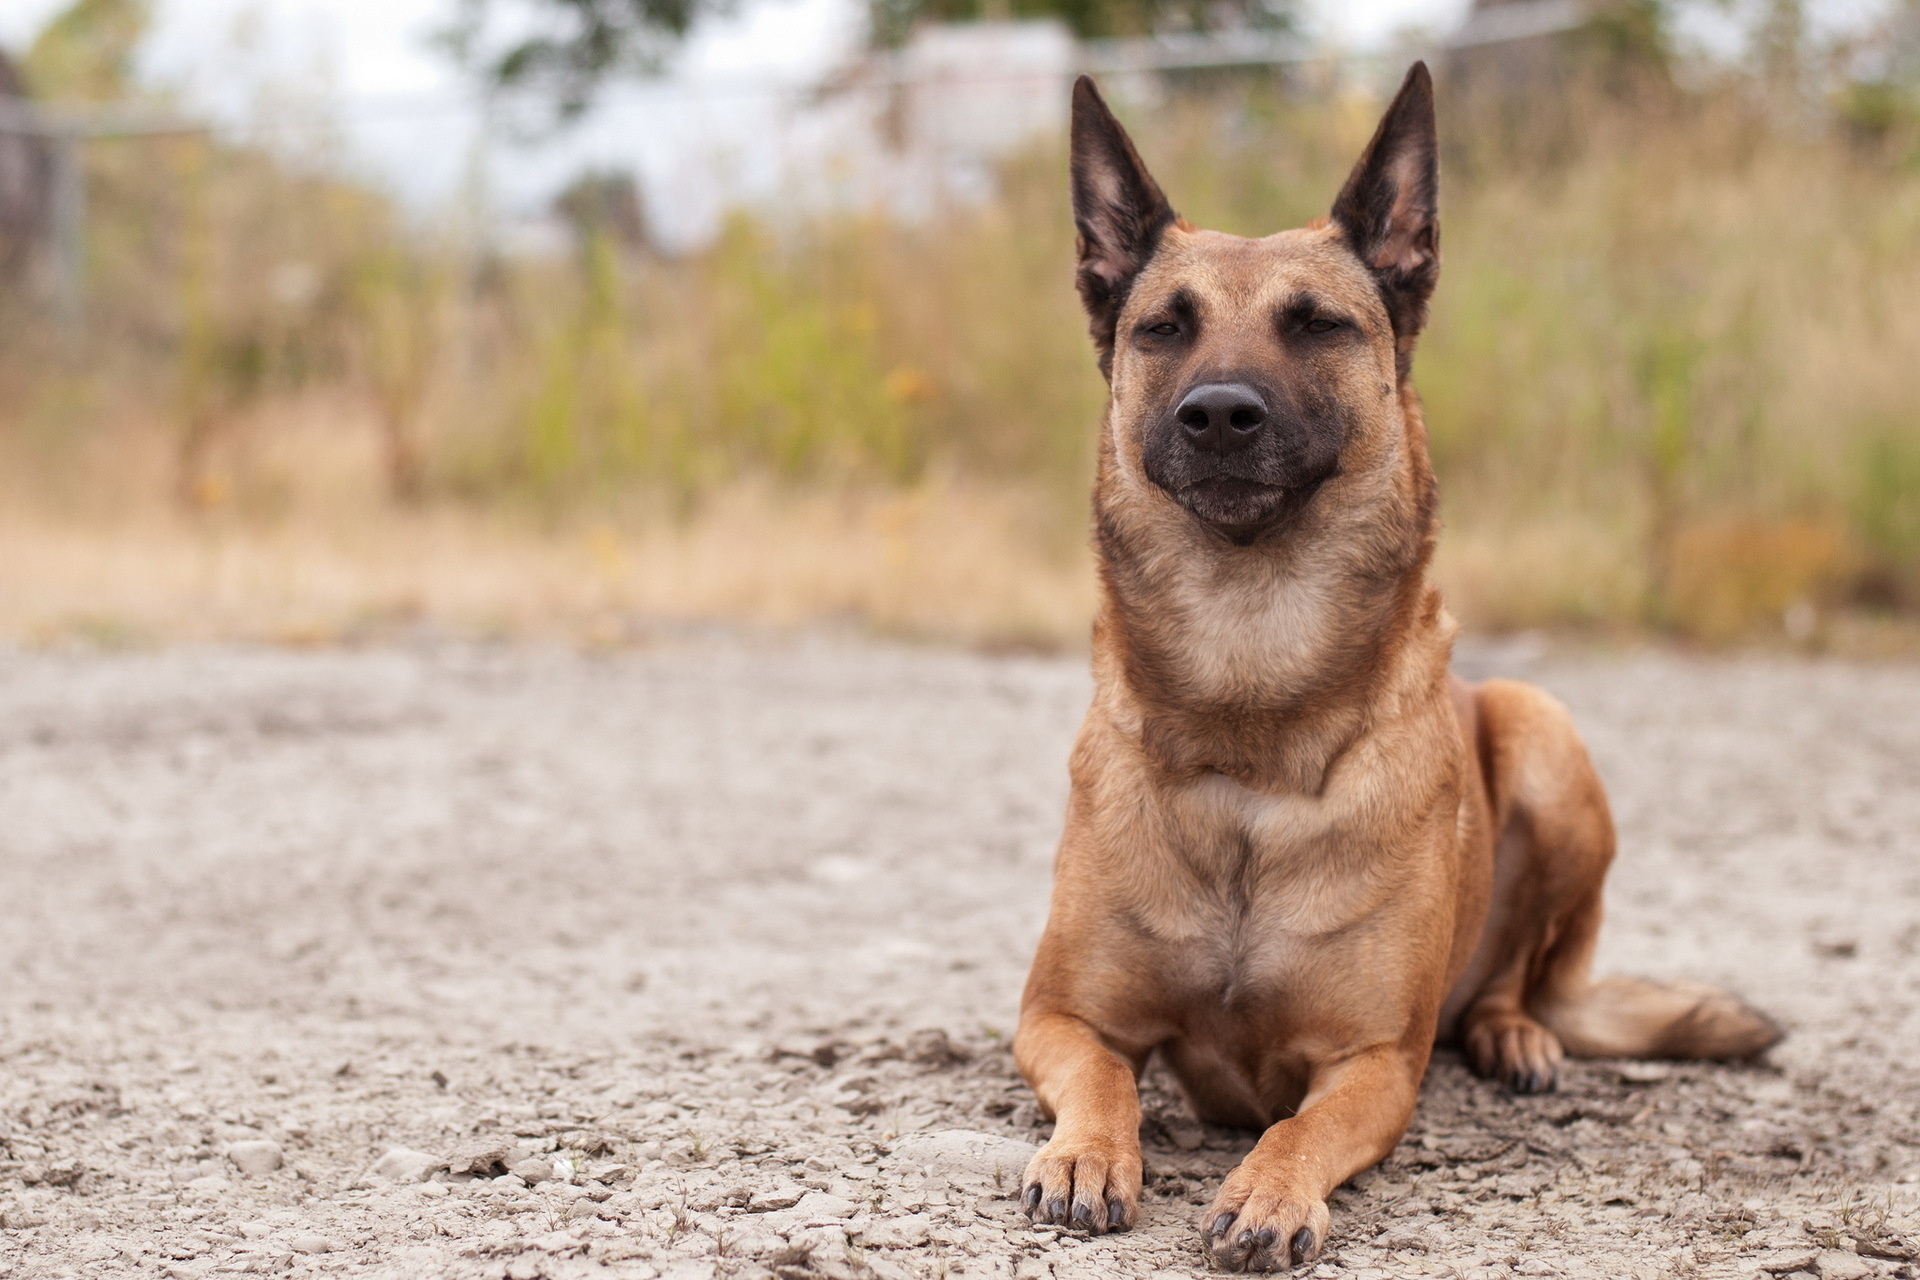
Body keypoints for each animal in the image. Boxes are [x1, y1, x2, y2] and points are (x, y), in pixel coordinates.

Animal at [1013, 65, 1774, 1274]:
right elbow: (1104, 1077)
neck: (1252, 718)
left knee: (1519, 976)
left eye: (1317, 324)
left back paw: (1514, 1035)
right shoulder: (1054, 1016)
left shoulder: (1374, 1064)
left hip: (1544, 733)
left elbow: (1298, 1125)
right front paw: (1086, 1153)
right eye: (1164, 328)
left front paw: (1268, 1191)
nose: (1218, 413)